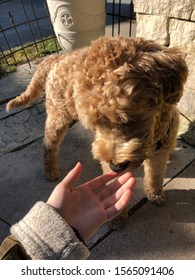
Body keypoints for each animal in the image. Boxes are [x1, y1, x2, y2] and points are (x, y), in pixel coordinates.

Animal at [7, 35, 187, 206]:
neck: (155, 134)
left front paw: (155, 195)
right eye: (95, 125)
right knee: (48, 145)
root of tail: (56, 58)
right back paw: (50, 171)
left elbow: (155, 176)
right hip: (57, 116)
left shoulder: (160, 154)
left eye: (129, 119)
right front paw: (118, 214)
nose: (116, 167)